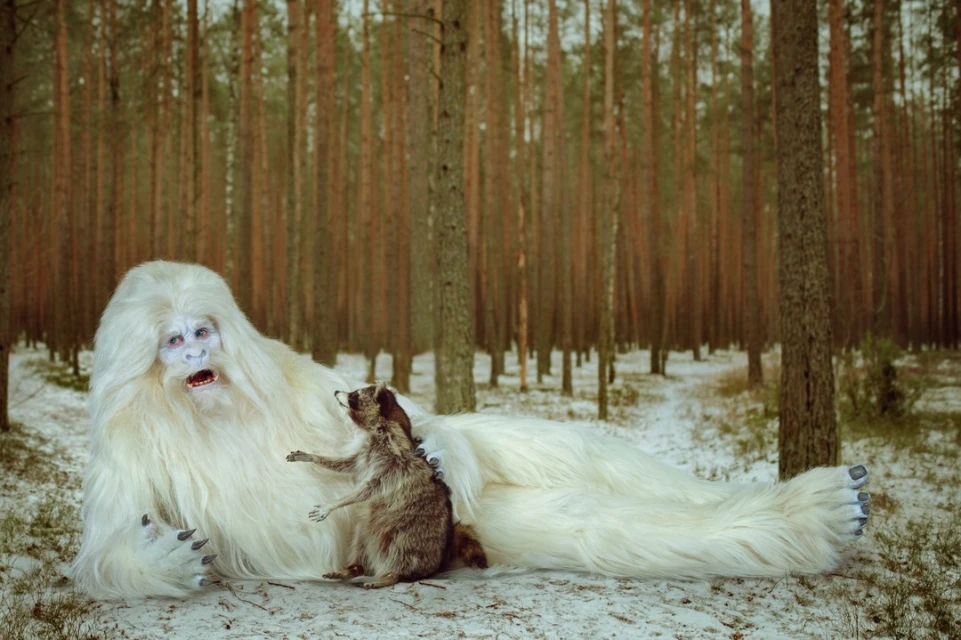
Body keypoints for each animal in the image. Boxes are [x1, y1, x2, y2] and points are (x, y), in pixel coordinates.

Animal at [287, 383, 487, 589]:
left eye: (355, 395)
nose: (335, 392)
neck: (382, 427)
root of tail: (440, 558)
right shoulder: (367, 453)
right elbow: (347, 464)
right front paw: (312, 457)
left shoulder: (393, 463)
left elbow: (369, 488)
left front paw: (334, 504)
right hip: (374, 524)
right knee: (362, 535)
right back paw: (354, 568)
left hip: (415, 530)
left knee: (403, 548)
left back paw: (392, 574)